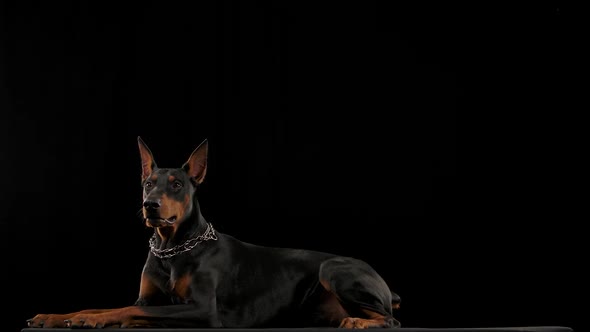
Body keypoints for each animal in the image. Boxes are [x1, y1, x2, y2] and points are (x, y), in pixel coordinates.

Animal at [26, 136, 402, 328]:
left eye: (177, 184)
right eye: (148, 183)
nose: (150, 205)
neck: (172, 248)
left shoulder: (202, 309)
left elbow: (126, 312)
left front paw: (88, 320)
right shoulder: (146, 298)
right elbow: (114, 306)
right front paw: (57, 316)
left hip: (332, 268)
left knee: (390, 321)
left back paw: (361, 323)